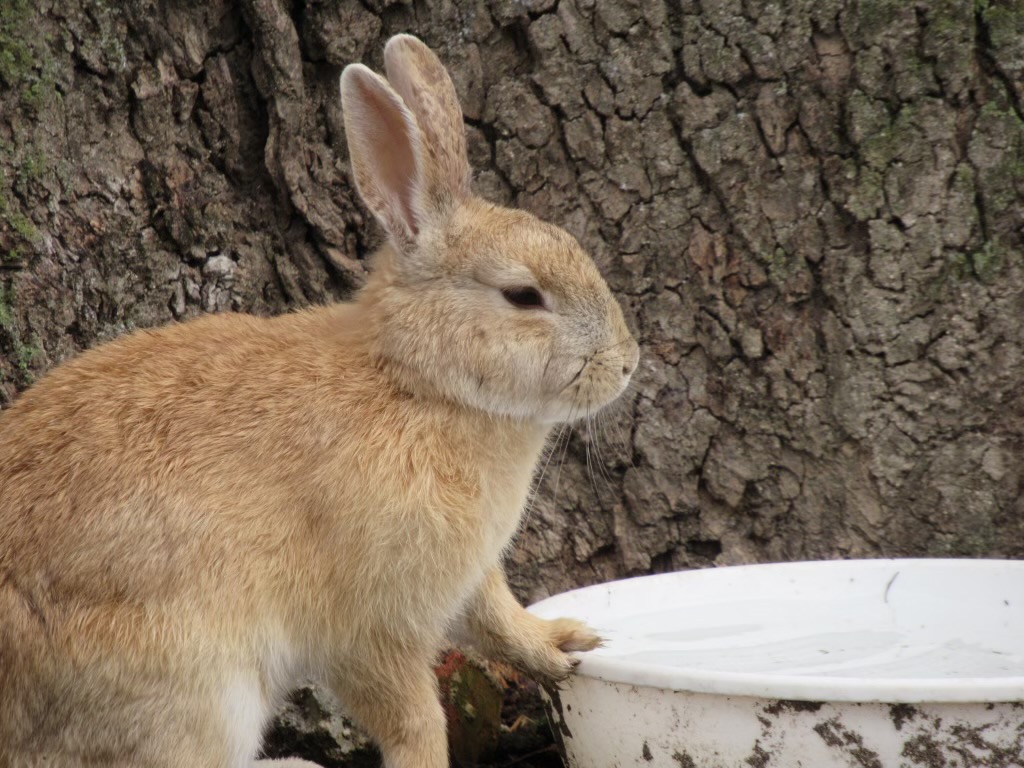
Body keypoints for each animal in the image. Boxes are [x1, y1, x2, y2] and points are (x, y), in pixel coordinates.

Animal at [0, 33, 638, 768]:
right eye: (524, 296)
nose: (627, 363)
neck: (418, 383)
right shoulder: (370, 623)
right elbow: (413, 717)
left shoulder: (468, 579)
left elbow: (500, 622)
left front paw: (566, 644)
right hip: (192, 690)